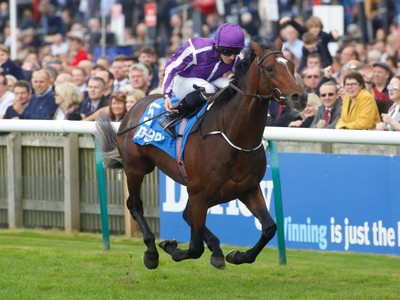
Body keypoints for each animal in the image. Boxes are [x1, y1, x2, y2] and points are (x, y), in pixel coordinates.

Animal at [96, 39, 306, 270]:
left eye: (292, 66)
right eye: (270, 68)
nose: (300, 97)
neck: (233, 136)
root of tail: (134, 107)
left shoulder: (247, 188)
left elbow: (269, 228)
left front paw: (237, 255)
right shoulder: (199, 193)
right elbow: (195, 247)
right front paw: (171, 248)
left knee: (186, 214)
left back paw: (215, 250)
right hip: (136, 168)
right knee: (135, 205)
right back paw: (151, 252)